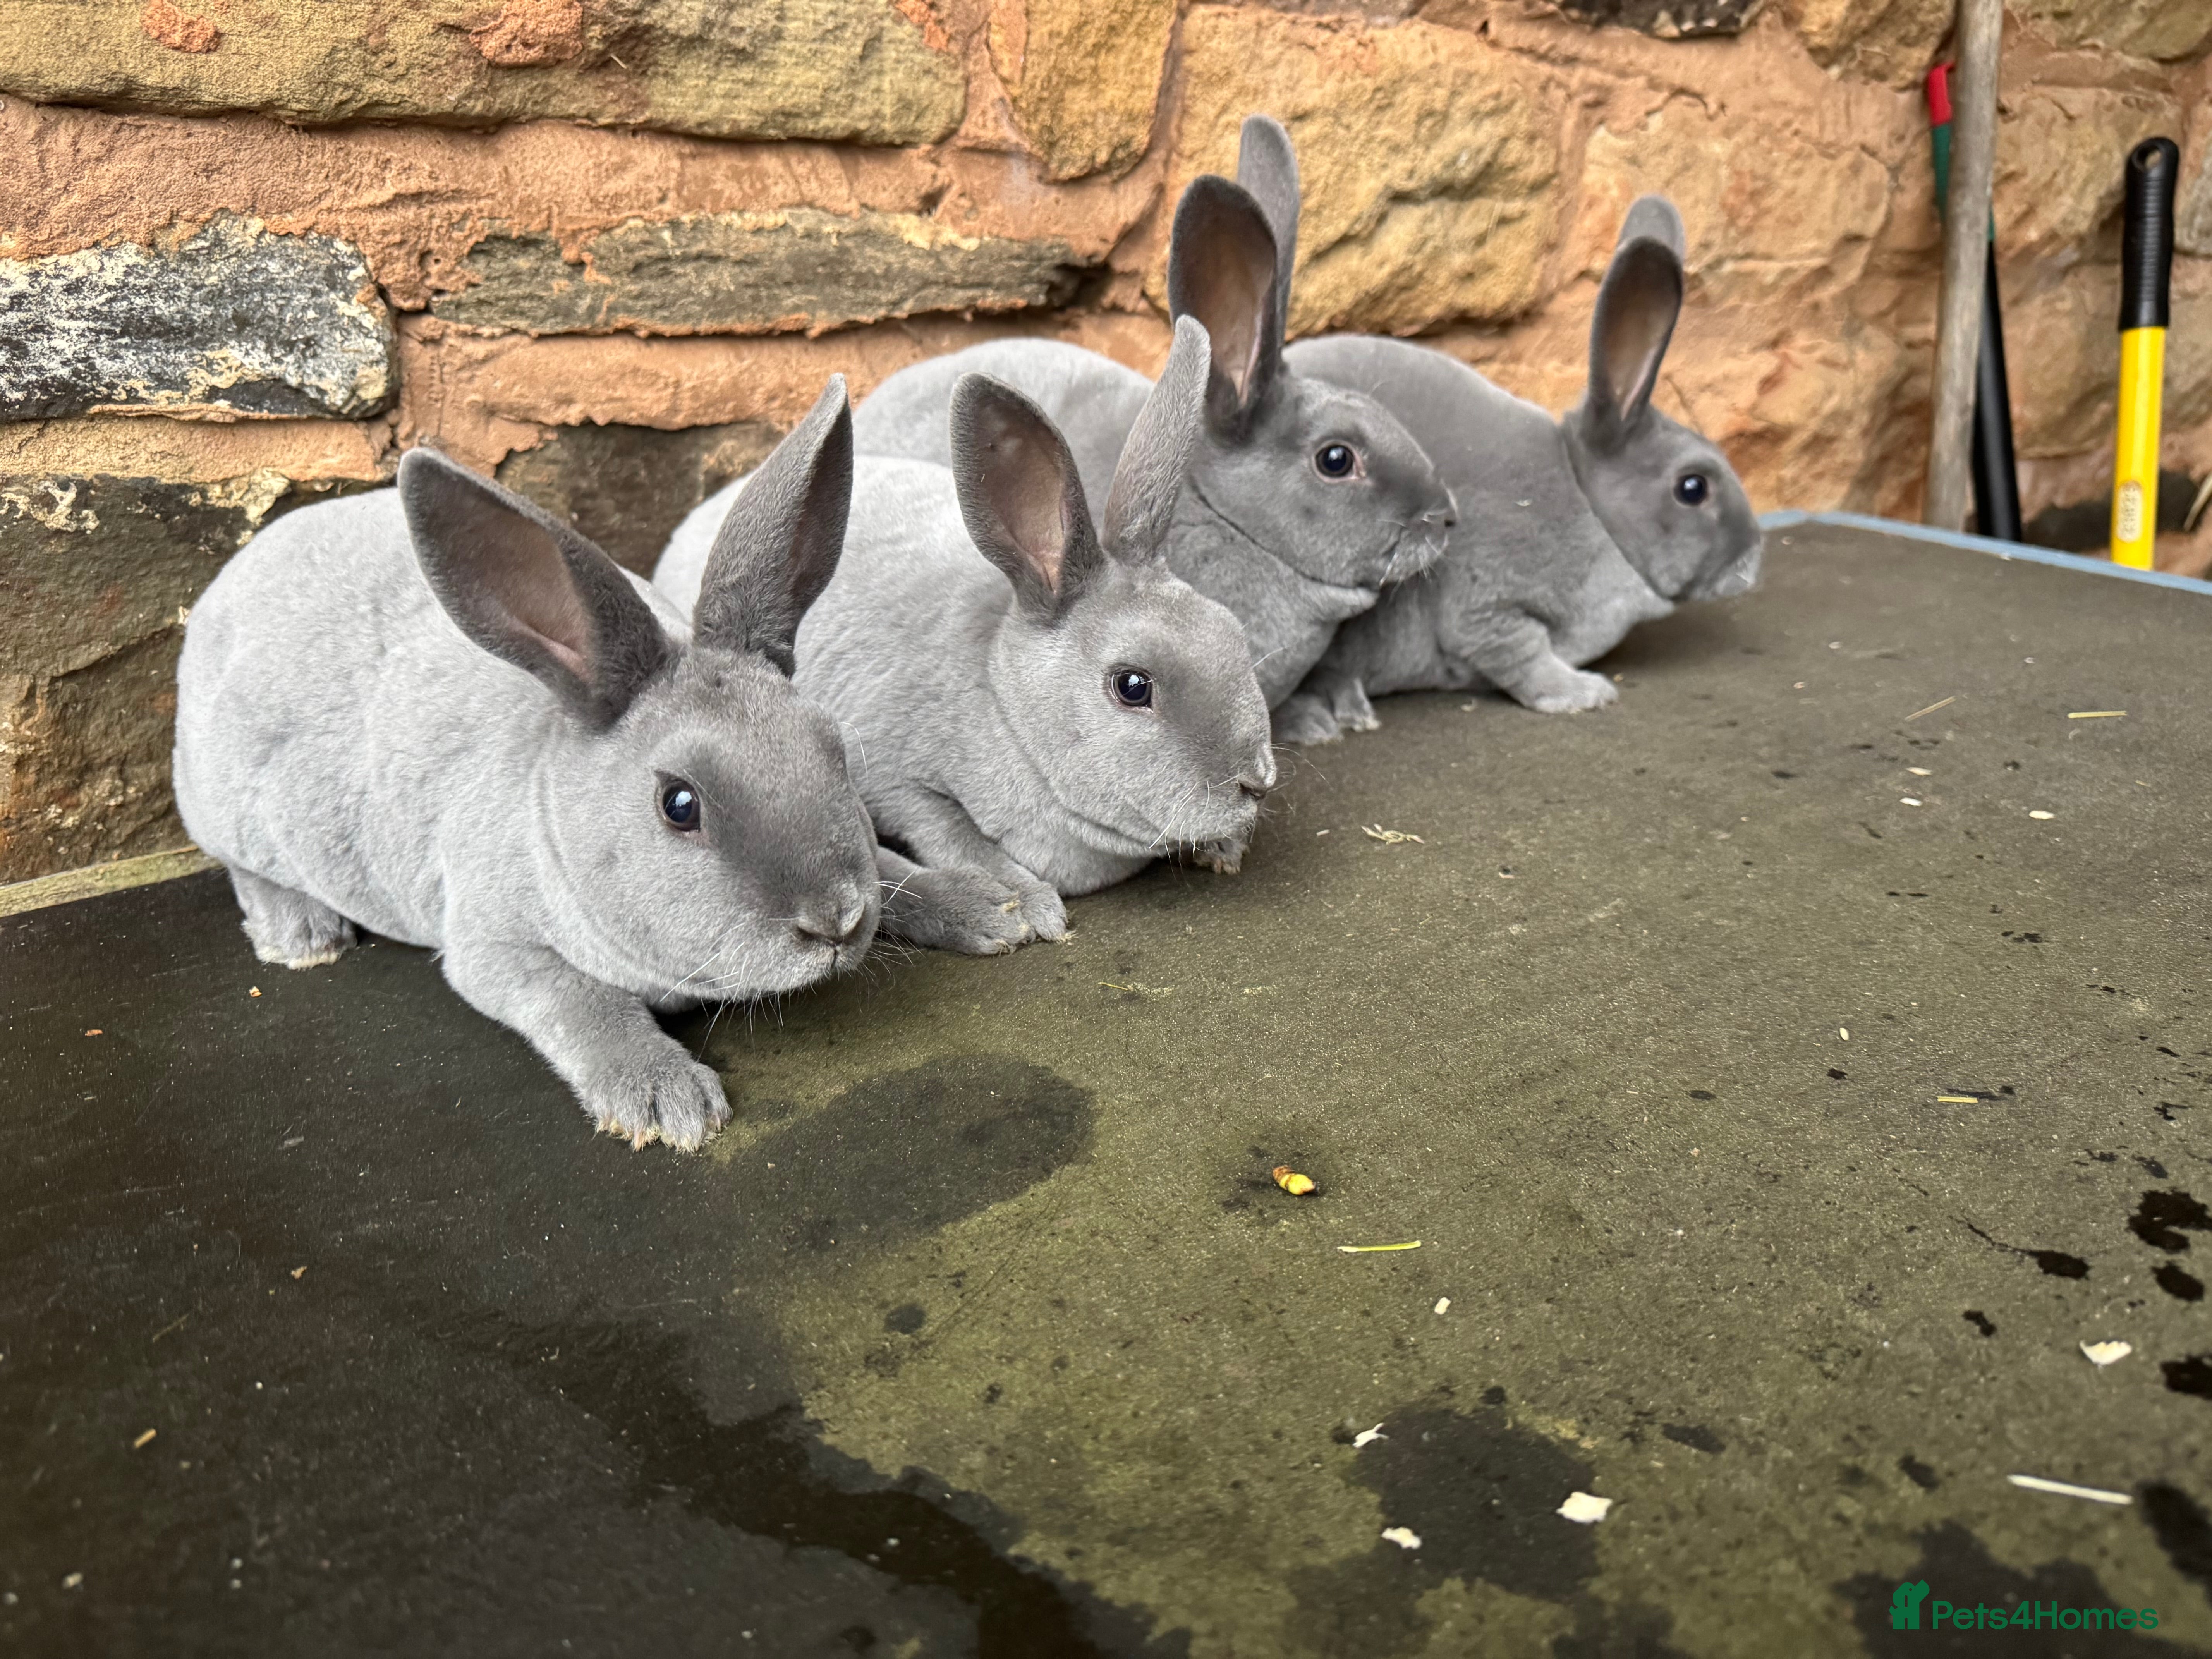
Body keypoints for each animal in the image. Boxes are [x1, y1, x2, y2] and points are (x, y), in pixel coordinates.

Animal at [175, 378, 907, 1153]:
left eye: (834, 748)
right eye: (680, 804)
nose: (836, 921)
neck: (549, 805)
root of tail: (229, 581)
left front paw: (959, 904)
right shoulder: (497, 947)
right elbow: (584, 1005)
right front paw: (667, 1102)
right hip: (232, 811)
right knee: (243, 865)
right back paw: (302, 936)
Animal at [657, 316, 1277, 933]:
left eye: (1233, 632)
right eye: (1132, 686)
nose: (1256, 783)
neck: (1006, 709)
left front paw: (1224, 850)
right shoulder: (896, 781)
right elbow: (952, 834)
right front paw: (1029, 907)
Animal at [1273, 195, 1764, 743]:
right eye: (1693, 487)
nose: (1752, 563)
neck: (1591, 509)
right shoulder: (1490, 606)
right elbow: (1524, 659)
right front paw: (1584, 693)